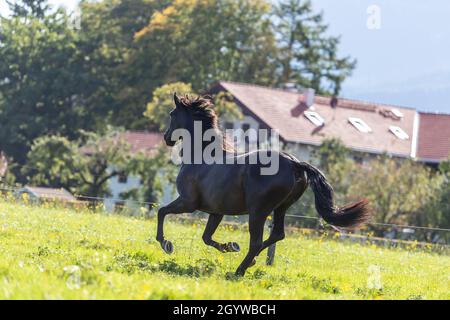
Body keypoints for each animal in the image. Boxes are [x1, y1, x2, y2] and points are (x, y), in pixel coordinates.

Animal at [156, 94, 370, 276]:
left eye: (172, 114)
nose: (167, 138)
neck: (201, 157)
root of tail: (294, 163)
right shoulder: (216, 211)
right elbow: (206, 237)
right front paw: (230, 246)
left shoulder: (188, 202)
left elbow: (162, 211)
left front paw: (166, 244)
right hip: (281, 208)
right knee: (277, 234)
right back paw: (250, 262)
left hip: (258, 211)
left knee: (256, 242)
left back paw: (239, 270)